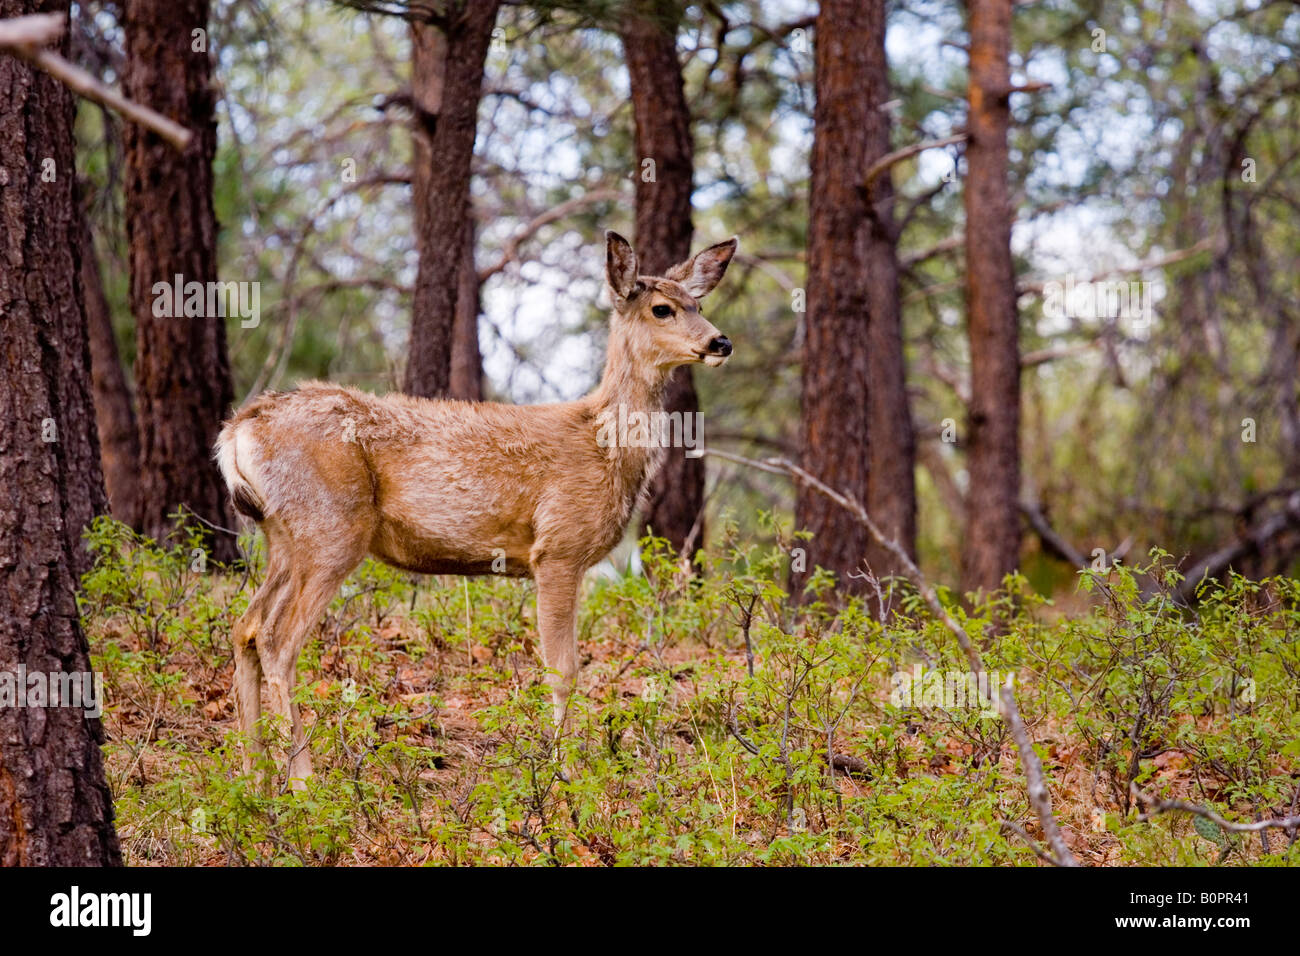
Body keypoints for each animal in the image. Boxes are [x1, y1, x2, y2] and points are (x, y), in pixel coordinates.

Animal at [215, 230, 737, 786]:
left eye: (699, 304)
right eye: (662, 309)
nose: (719, 342)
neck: (604, 446)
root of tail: (238, 430)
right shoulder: (558, 550)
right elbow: (563, 669)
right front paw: (564, 770)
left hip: (282, 535)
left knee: (245, 627)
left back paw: (253, 775)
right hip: (330, 527)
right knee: (277, 638)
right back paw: (302, 778)